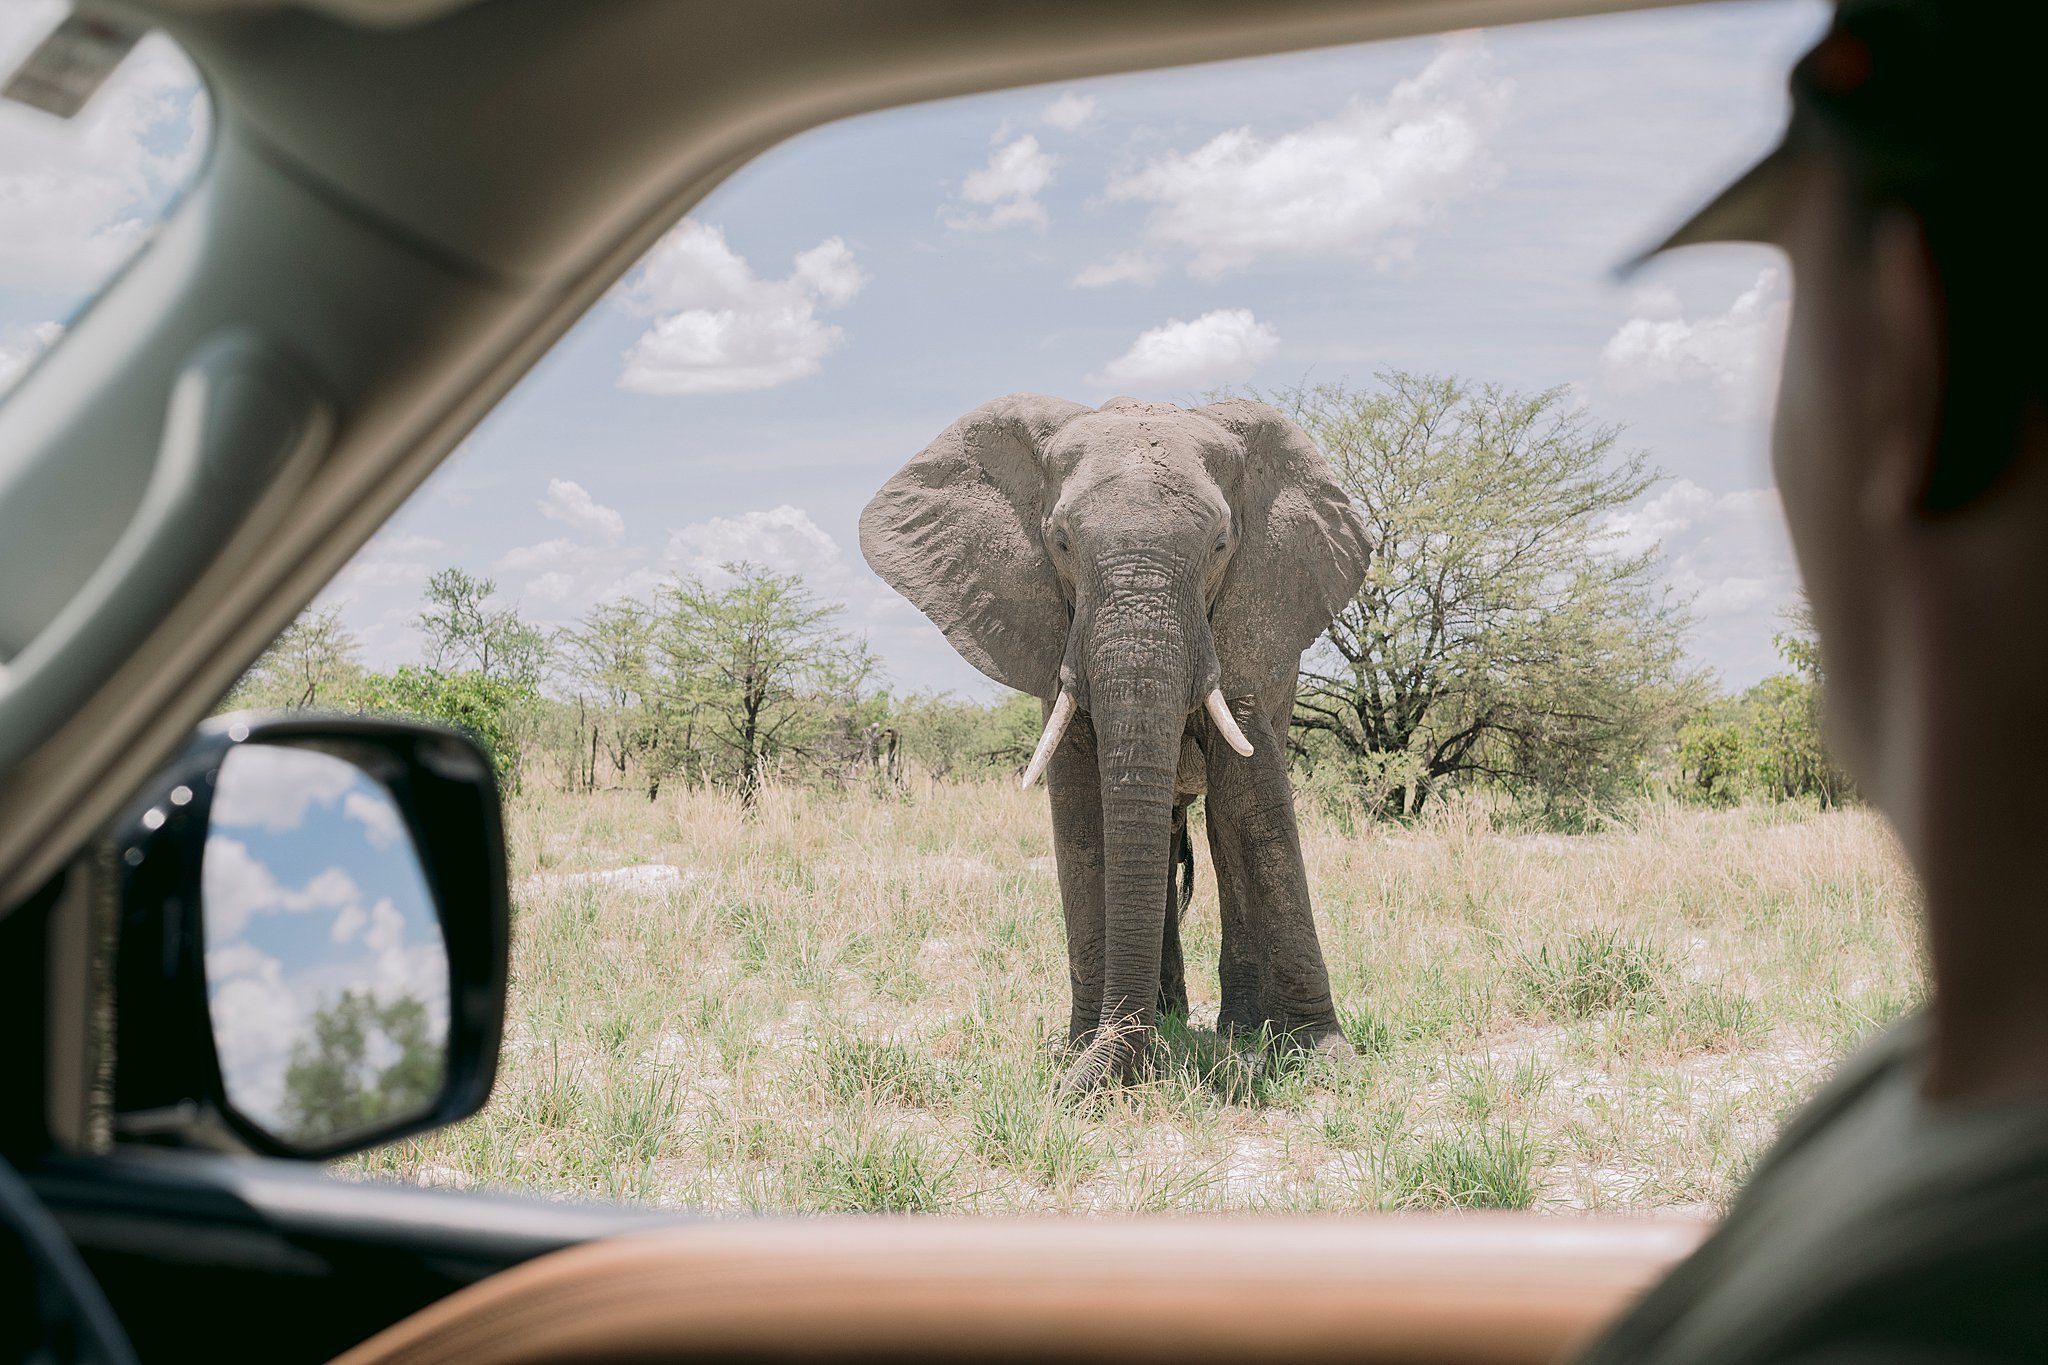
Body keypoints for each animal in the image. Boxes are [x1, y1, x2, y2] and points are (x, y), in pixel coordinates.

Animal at [859, 394, 1374, 1092]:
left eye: (1221, 544)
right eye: (1061, 542)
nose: (1085, 1085)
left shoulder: (1252, 627)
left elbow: (1254, 809)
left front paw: (1325, 1060)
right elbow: (1082, 816)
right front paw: (1083, 1053)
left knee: (1215, 829)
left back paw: (1233, 1031)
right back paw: (1171, 1016)